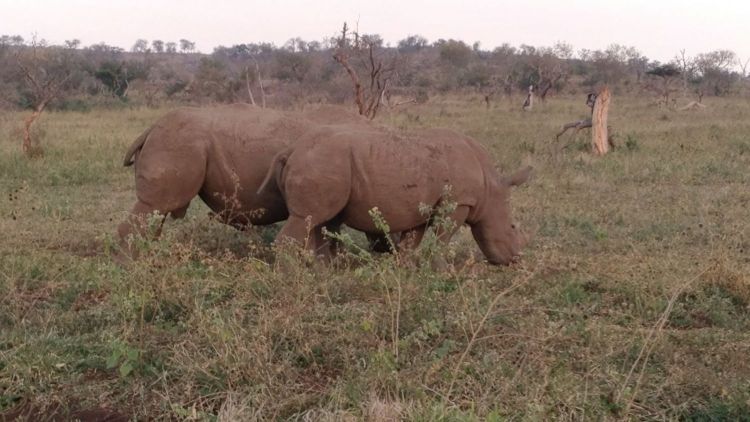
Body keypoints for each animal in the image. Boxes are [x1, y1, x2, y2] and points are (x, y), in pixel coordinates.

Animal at [117, 104, 389, 253]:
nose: (386, 252)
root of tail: (151, 128)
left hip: (176, 142)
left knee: (157, 212)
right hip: (178, 142)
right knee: (155, 205)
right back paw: (132, 267)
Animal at [260, 126, 532, 265]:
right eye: (513, 226)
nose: (516, 259)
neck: (491, 187)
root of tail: (292, 149)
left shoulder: (423, 207)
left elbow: (411, 241)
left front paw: (406, 268)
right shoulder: (458, 203)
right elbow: (442, 238)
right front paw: (443, 270)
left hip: (321, 162)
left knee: (319, 221)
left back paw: (323, 272)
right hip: (320, 162)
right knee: (307, 218)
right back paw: (291, 277)